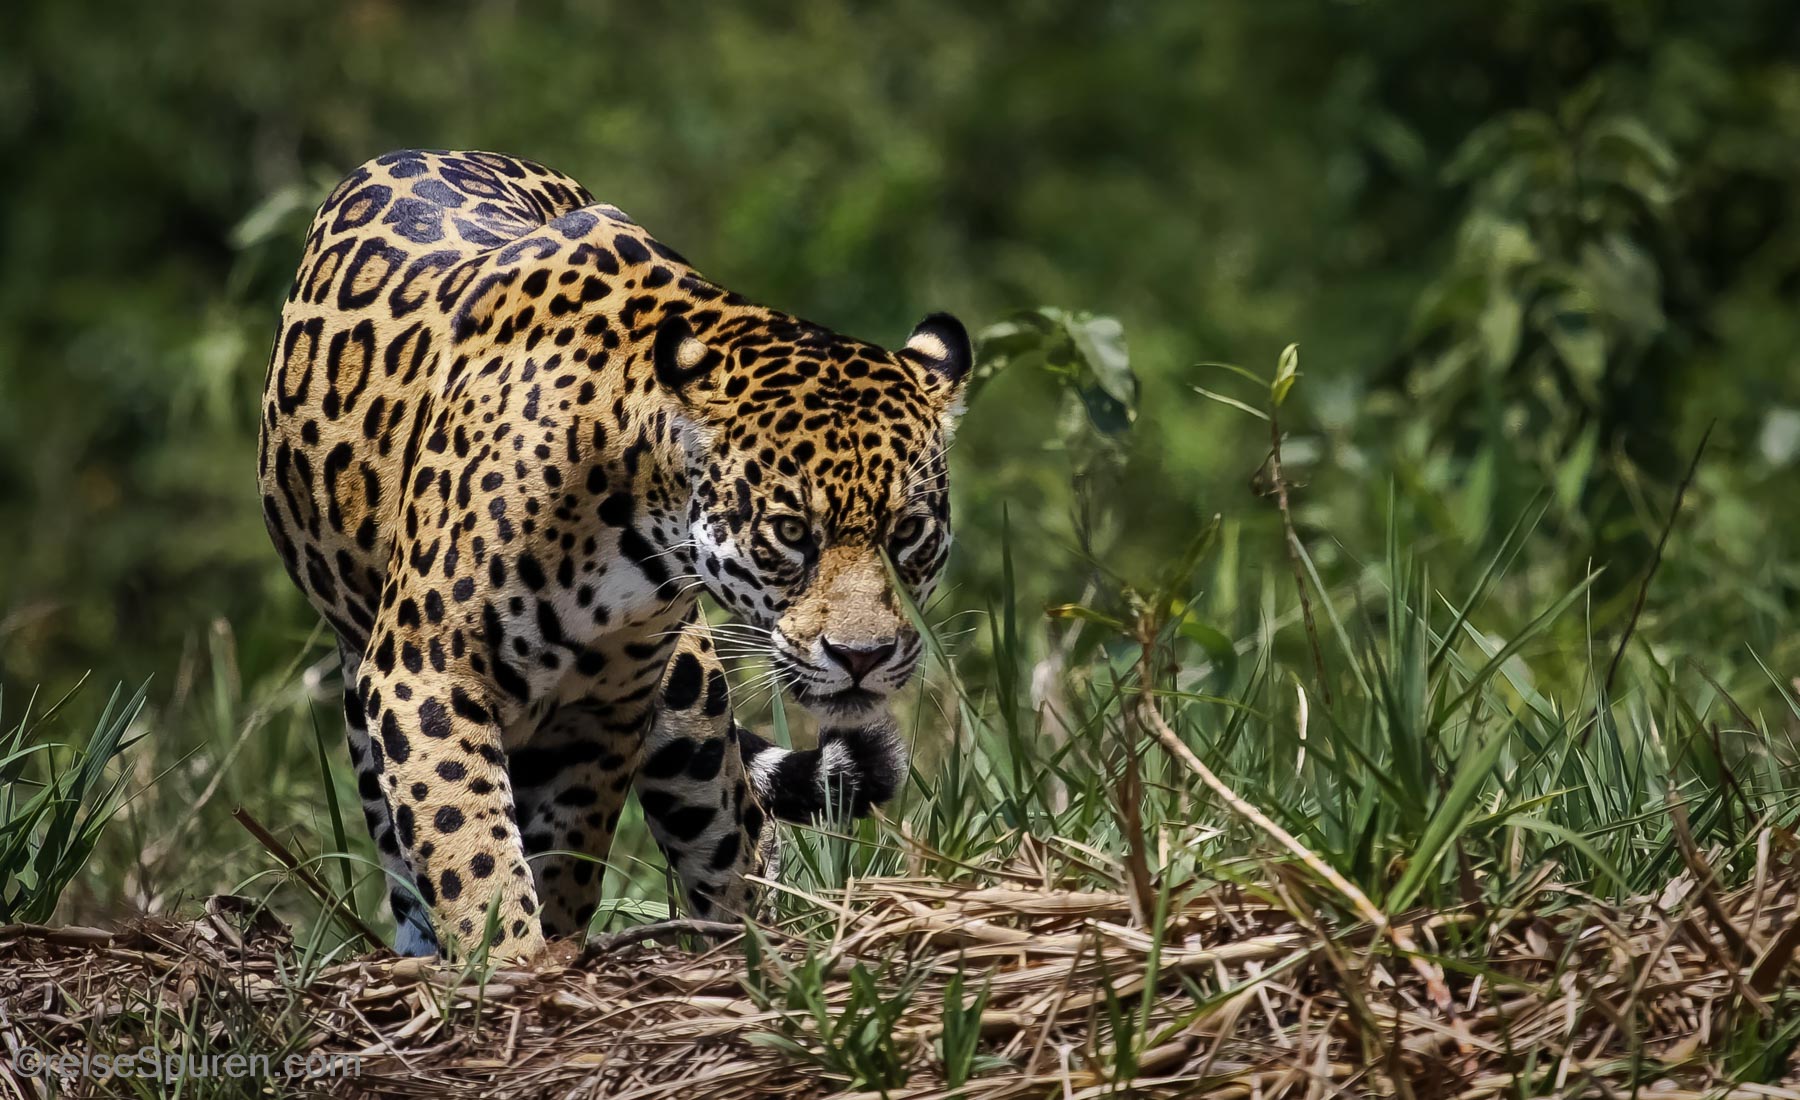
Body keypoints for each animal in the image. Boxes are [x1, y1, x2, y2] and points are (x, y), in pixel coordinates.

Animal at [257, 149, 969, 961]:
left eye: (908, 533)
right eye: (792, 532)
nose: (862, 657)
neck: (637, 509)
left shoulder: (609, 708)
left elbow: (567, 850)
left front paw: (551, 947)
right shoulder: (424, 674)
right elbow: (466, 842)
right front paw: (506, 959)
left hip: (688, 710)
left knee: (739, 838)